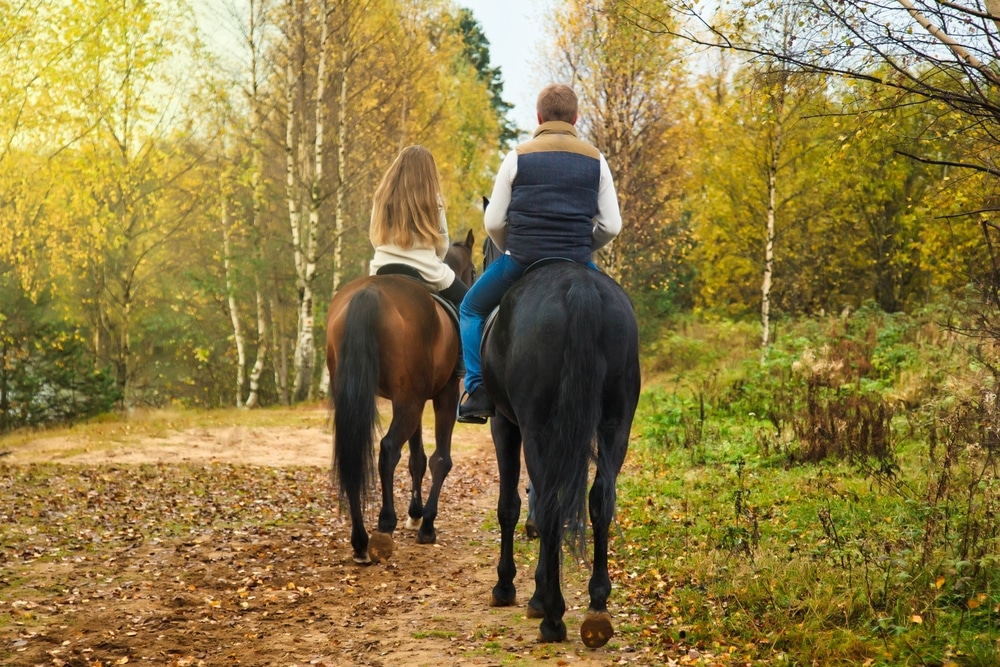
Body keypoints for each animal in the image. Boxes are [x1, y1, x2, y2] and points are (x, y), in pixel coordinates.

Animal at [324, 230, 472, 564]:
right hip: (412, 403)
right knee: (389, 448)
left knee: (353, 455)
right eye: (473, 268)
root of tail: (369, 294)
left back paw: (360, 540)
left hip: (379, 400)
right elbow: (440, 459)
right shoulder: (443, 395)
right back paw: (384, 523)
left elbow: (417, 458)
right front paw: (426, 524)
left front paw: (415, 514)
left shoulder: (409, 398)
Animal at [478, 245, 636, 648]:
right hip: (616, 425)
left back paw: (552, 617)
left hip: (537, 427)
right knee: (600, 500)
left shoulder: (505, 426)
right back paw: (597, 608)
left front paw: (510, 588)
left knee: (549, 505)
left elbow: (510, 506)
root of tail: (580, 289)